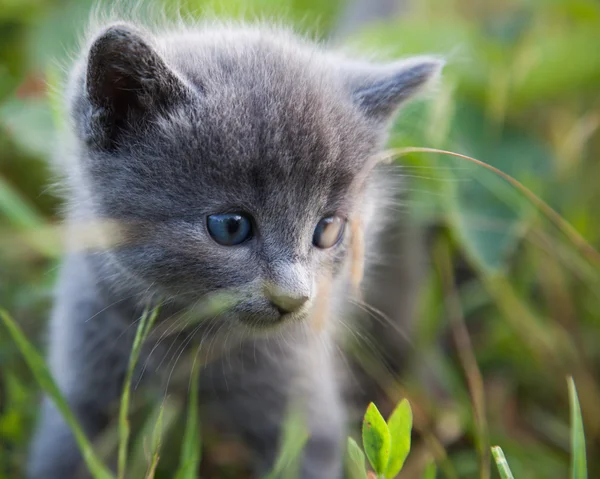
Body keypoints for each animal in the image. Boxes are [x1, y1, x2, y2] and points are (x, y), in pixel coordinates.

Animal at [28, 16, 440, 478]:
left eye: (328, 230)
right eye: (230, 227)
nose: (294, 297)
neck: (187, 341)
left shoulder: (302, 404)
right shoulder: (84, 374)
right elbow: (62, 453)